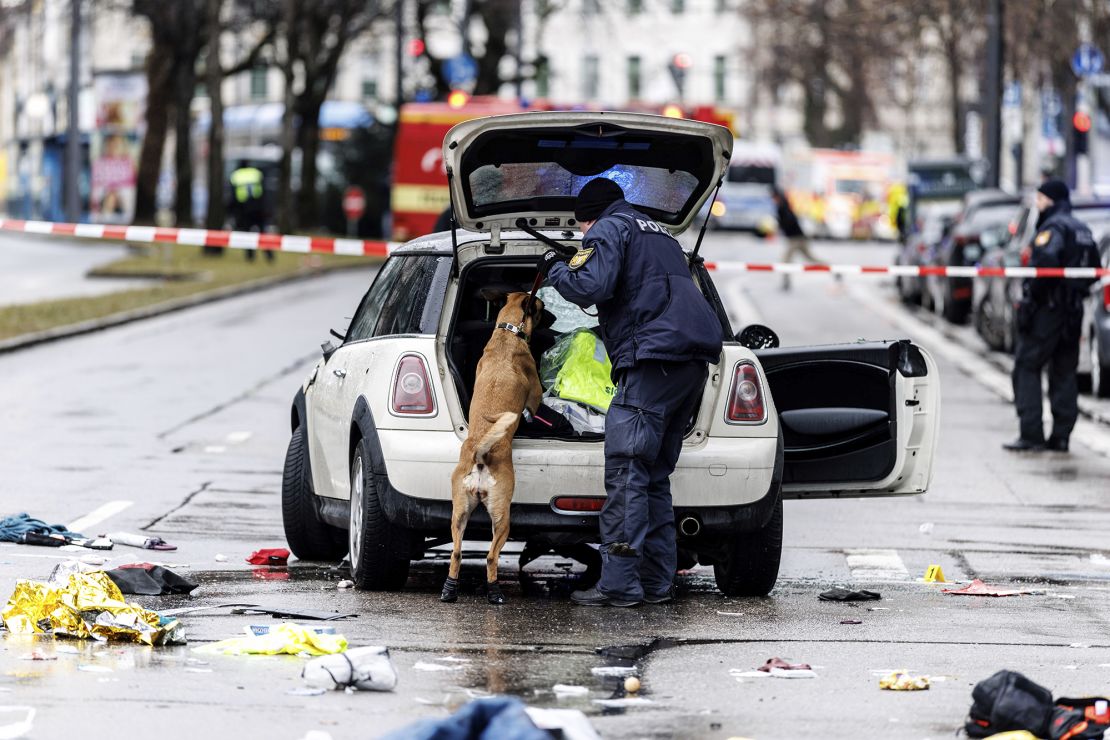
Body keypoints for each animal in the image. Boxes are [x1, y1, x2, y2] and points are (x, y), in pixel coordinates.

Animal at [441, 292, 546, 603]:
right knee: (490, 557)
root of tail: (480, 454)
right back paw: (494, 592)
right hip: (502, 518)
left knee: (456, 553)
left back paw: (449, 590)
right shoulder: (535, 395)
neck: (507, 333)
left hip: (459, 515)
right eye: (540, 307)